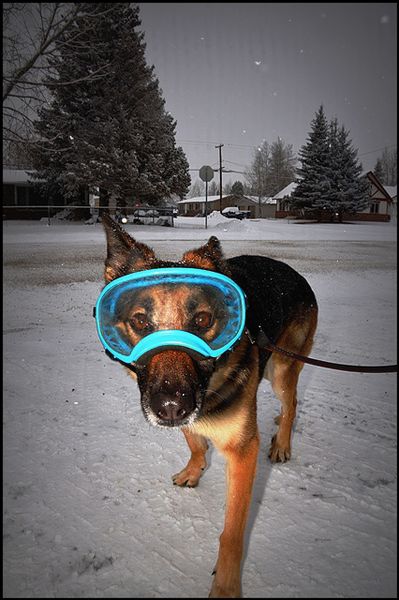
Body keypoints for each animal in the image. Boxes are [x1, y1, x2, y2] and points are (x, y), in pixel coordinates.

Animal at [97, 213, 318, 596]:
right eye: (140, 321)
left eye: (202, 320)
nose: (171, 406)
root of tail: (294, 272)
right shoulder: (190, 419)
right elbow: (195, 441)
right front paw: (195, 468)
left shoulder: (243, 452)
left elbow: (232, 534)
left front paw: (226, 585)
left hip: (281, 369)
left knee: (291, 401)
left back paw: (283, 442)